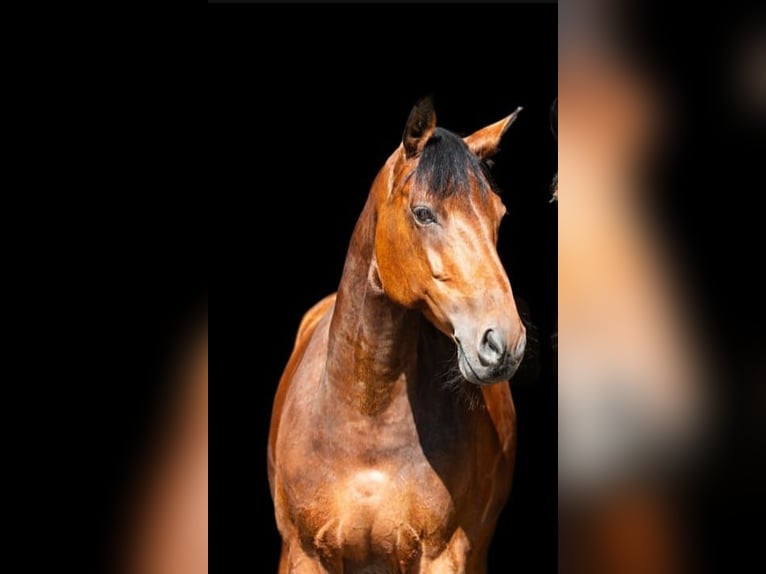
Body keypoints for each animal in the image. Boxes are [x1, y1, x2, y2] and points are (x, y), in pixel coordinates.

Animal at [268, 98, 526, 573]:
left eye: (498, 215)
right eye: (423, 213)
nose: (504, 342)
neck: (366, 420)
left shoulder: (442, 556)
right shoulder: (305, 554)